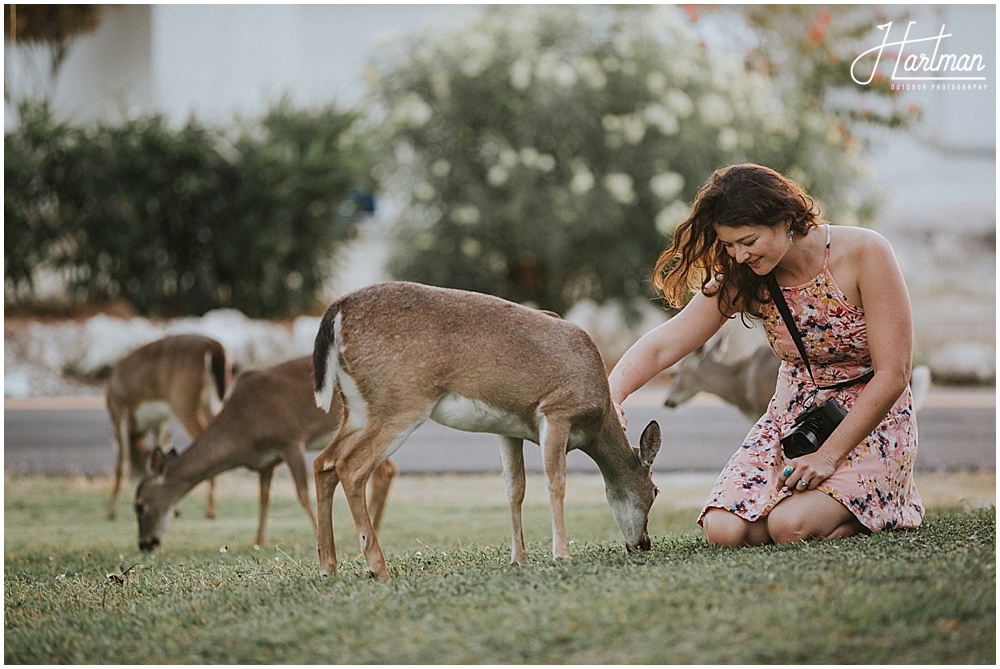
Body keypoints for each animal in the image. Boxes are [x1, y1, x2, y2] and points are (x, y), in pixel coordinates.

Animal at [106, 336, 230, 520]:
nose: (140, 500)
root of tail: (214, 348)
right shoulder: (159, 422)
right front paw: (175, 509)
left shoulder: (120, 411)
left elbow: (120, 465)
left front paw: (110, 512)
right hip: (213, 403)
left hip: (184, 400)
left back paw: (210, 511)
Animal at [135, 358, 400, 552]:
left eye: (139, 505)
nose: (144, 544)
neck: (243, 428)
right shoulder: (266, 462)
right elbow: (263, 497)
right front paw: (258, 542)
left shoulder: (290, 439)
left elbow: (302, 493)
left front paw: (318, 536)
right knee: (387, 470)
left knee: (382, 472)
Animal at [308, 280, 660, 580]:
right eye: (655, 491)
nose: (643, 544)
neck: (597, 420)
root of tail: (336, 311)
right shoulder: (557, 410)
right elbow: (555, 482)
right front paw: (561, 555)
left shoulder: (509, 427)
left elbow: (515, 488)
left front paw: (518, 559)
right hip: (400, 402)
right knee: (351, 466)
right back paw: (377, 569)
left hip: (357, 409)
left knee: (324, 462)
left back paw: (328, 567)